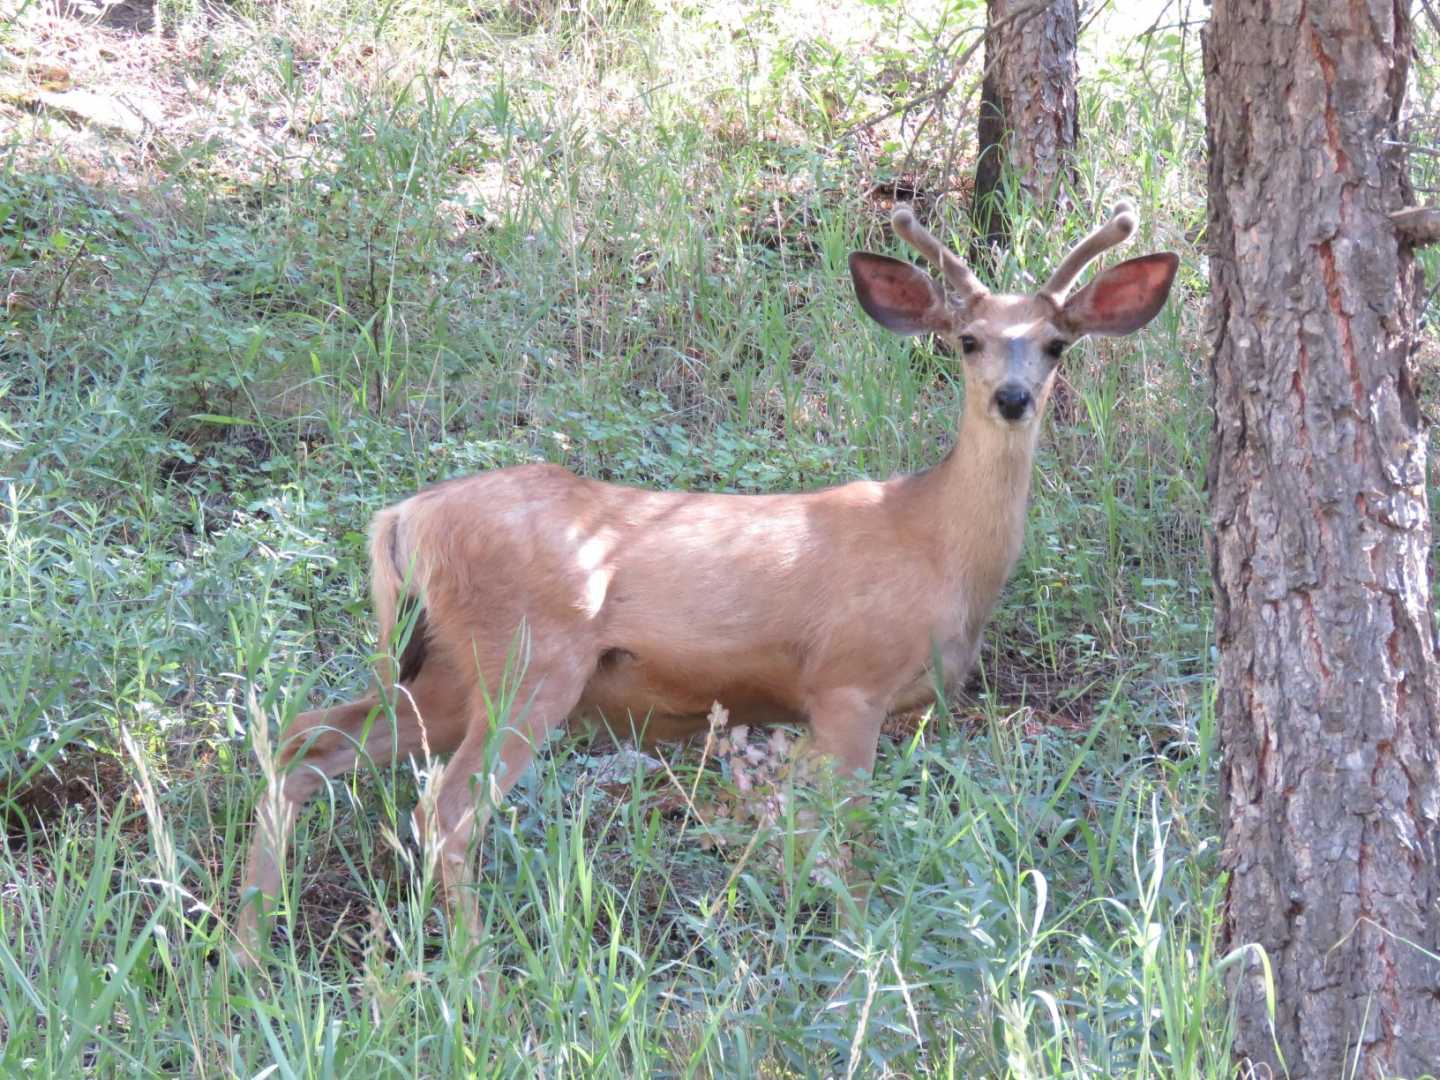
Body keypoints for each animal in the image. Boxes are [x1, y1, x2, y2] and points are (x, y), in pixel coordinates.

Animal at [239, 203, 1180, 961]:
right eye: (968, 340)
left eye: (1056, 343)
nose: (1014, 398)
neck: (937, 547)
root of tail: (403, 518)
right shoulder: (847, 683)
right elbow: (844, 841)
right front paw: (862, 960)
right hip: (528, 661)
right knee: (445, 806)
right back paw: (475, 973)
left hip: (441, 669)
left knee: (305, 738)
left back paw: (248, 949)